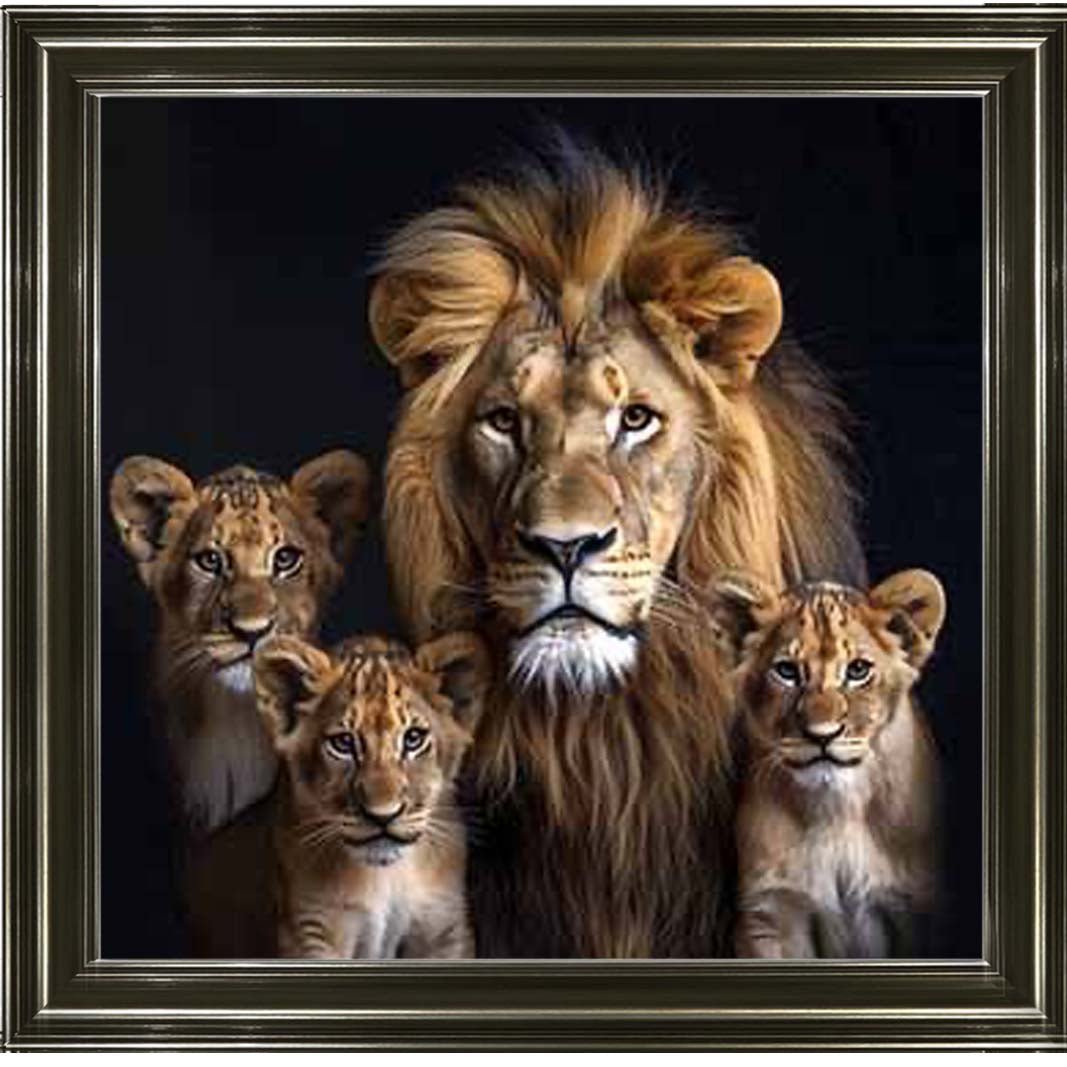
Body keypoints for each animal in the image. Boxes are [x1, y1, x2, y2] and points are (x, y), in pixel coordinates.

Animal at [710, 569, 945, 958]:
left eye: (858, 670)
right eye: (787, 671)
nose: (822, 735)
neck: (837, 810)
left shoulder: (916, 906)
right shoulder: (773, 914)